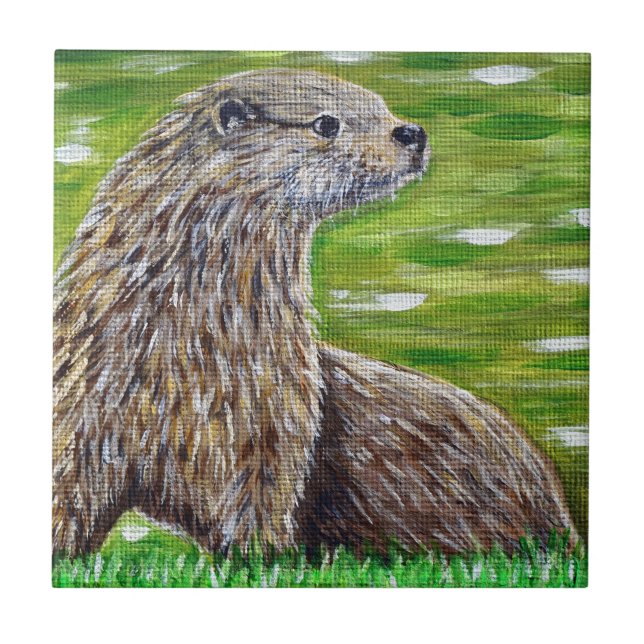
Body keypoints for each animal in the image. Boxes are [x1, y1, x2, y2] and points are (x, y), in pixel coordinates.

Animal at [53, 68, 577, 558]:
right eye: (327, 123)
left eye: (382, 106)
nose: (411, 132)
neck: (181, 345)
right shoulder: (80, 411)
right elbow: (68, 497)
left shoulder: (269, 429)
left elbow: (257, 513)